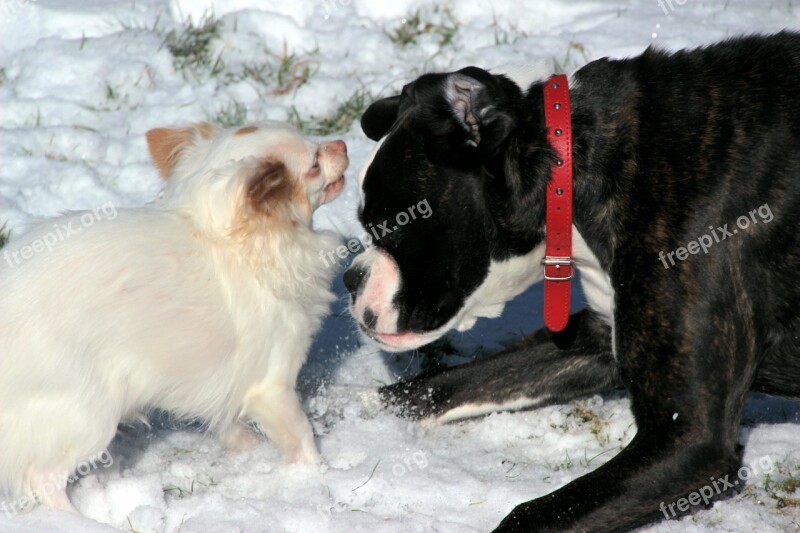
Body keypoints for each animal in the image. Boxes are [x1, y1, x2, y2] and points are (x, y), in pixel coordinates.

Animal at [0, 119, 346, 512]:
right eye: (314, 163)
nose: (342, 144)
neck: (232, 243)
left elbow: (228, 420)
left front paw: (247, 450)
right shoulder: (272, 386)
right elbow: (301, 434)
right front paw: (315, 476)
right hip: (88, 415)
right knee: (43, 478)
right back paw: (75, 517)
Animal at [346, 32, 800, 528]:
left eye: (393, 225)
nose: (350, 279)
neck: (574, 170)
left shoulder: (691, 437)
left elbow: (534, 515)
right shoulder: (594, 339)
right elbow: (440, 386)